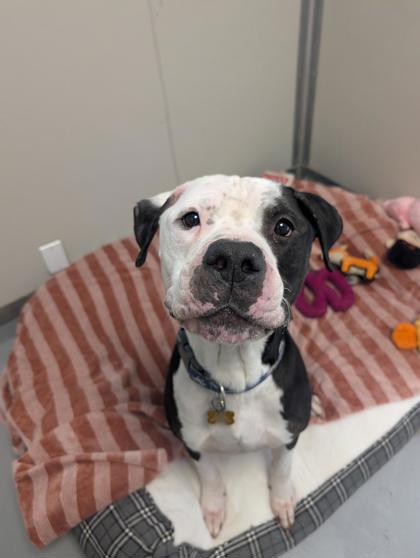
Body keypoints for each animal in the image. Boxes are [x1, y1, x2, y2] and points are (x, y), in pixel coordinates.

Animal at [133, 175, 342, 537]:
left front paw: (282, 500)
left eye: (284, 226)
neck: (233, 371)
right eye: (190, 218)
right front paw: (214, 508)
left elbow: (282, 469)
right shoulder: (194, 444)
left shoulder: (288, 437)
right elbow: (211, 476)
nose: (233, 257)